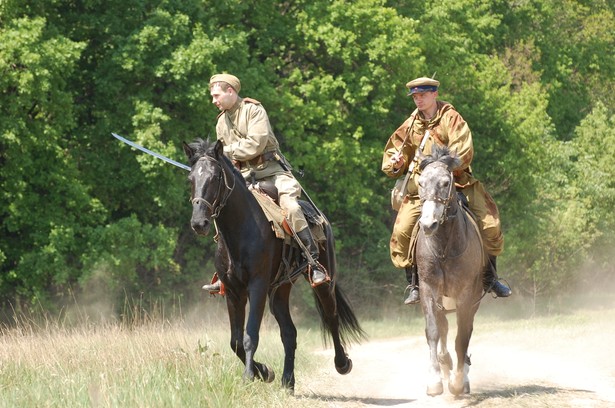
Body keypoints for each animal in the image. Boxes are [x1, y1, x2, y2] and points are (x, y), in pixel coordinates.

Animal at [183, 139, 366, 390]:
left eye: (215, 177)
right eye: (191, 179)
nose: (198, 223)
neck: (241, 230)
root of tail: (322, 219)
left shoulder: (257, 287)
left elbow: (250, 336)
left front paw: (249, 376)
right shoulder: (233, 291)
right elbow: (235, 341)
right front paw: (264, 372)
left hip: (323, 284)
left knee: (331, 317)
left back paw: (342, 363)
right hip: (279, 290)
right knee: (289, 332)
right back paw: (287, 380)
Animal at [416, 144, 484, 396]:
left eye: (446, 183)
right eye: (420, 183)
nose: (428, 225)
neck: (444, 246)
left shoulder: (466, 294)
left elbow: (461, 336)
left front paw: (457, 382)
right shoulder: (428, 289)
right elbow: (434, 331)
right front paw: (435, 380)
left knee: (466, 330)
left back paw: (461, 375)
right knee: (443, 327)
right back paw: (446, 365)